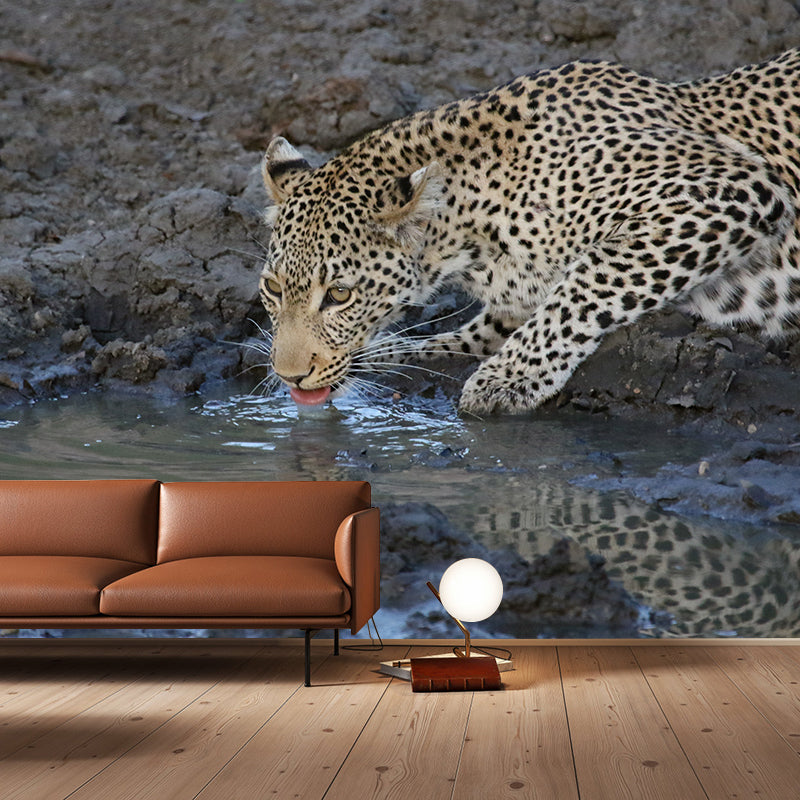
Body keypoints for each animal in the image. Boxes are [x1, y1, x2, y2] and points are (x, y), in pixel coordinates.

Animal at [257, 48, 800, 414]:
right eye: (273, 288)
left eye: (340, 295)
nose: (289, 376)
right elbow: (464, 335)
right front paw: (383, 356)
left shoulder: (728, 188)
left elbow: (587, 284)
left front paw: (505, 380)